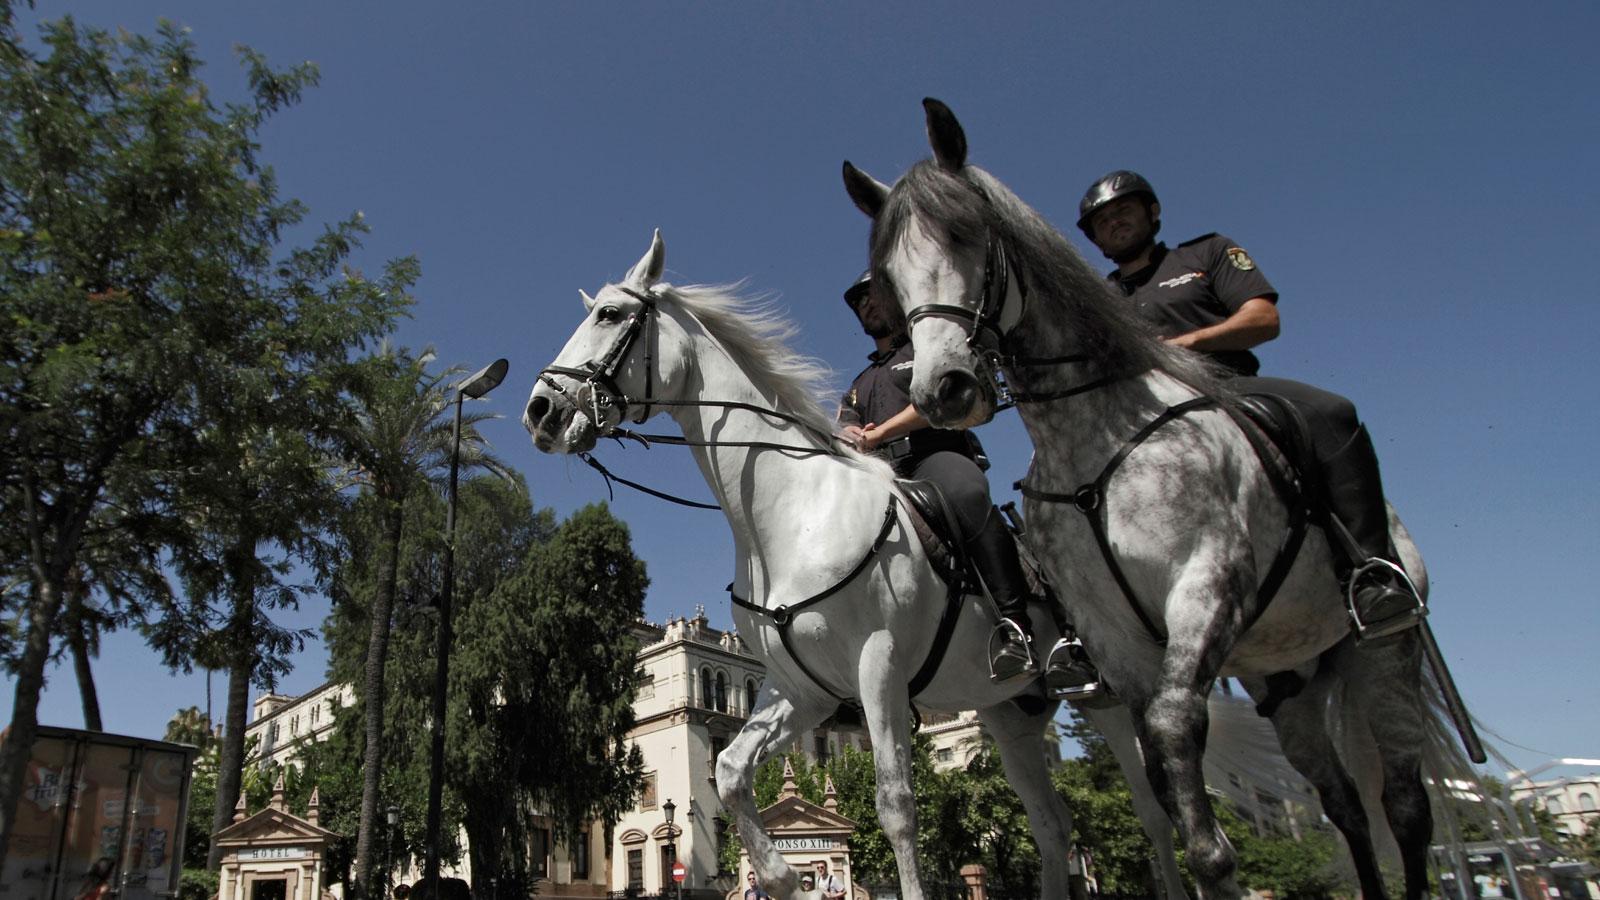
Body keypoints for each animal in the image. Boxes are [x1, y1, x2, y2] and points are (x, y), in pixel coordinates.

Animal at [518, 232, 1196, 896]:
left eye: (610, 315)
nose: (540, 411)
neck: (795, 512)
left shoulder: (880, 666)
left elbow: (896, 806)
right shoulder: (801, 689)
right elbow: (733, 772)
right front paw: (785, 878)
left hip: (1110, 695)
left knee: (1154, 814)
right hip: (1010, 713)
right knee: (1051, 823)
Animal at [851, 99, 1465, 896]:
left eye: (967, 233)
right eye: (889, 275)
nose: (942, 389)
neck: (1095, 438)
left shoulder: (1207, 586)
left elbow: (1177, 749)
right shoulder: (1115, 640)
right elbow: (1169, 784)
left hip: (1383, 654)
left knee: (1405, 806)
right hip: (1286, 674)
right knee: (1344, 805)